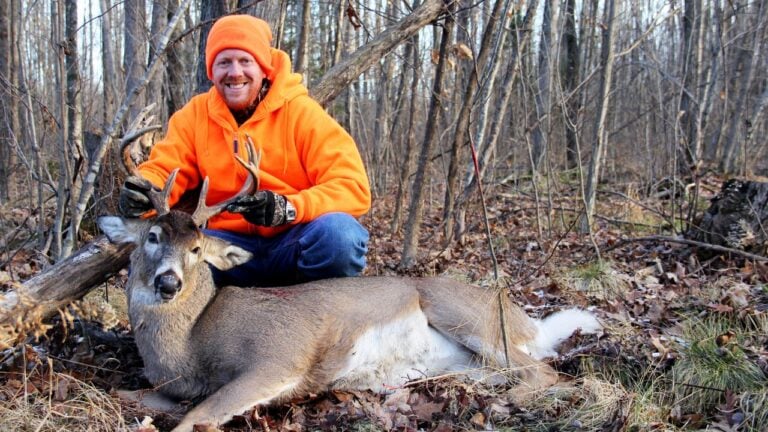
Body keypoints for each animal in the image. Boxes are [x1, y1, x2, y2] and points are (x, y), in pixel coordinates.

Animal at [98, 139, 600, 431]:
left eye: (198, 248)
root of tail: (527, 322)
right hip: (466, 360)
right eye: (152, 237)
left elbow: (196, 419)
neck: (191, 343)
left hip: (465, 314)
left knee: (546, 371)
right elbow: (126, 394)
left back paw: (503, 405)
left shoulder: (277, 357)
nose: (168, 282)